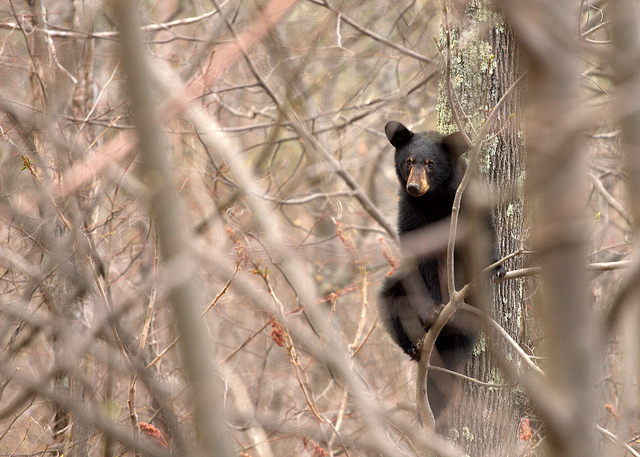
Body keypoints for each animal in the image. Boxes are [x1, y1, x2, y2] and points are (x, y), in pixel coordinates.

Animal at [378, 120, 504, 420]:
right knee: (391, 301)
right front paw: (432, 310)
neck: (432, 200)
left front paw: (495, 268)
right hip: (397, 291)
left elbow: (483, 232)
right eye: (408, 162)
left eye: (431, 164)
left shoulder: (466, 199)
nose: (414, 186)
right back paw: (416, 344)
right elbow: (421, 258)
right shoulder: (411, 214)